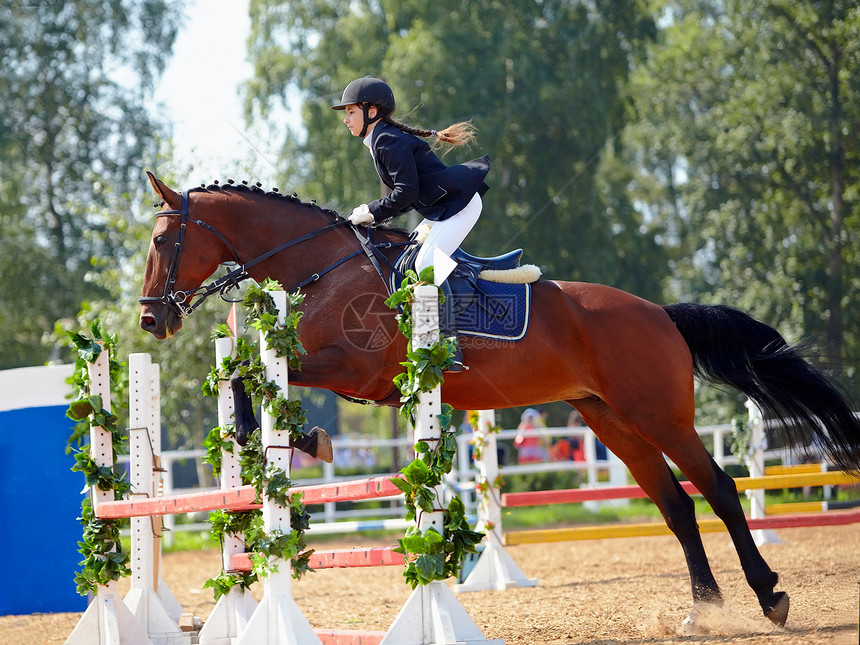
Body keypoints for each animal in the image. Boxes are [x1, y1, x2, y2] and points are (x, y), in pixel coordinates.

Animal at [138, 171, 856, 628]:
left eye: (162, 241)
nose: (151, 320)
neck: (321, 265)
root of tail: (661, 314)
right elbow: (240, 373)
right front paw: (264, 436)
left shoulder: (355, 370)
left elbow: (254, 376)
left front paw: (307, 438)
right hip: (611, 421)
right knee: (677, 506)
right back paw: (702, 609)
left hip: (659, 415)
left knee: (720, 490)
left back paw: (769, 596)